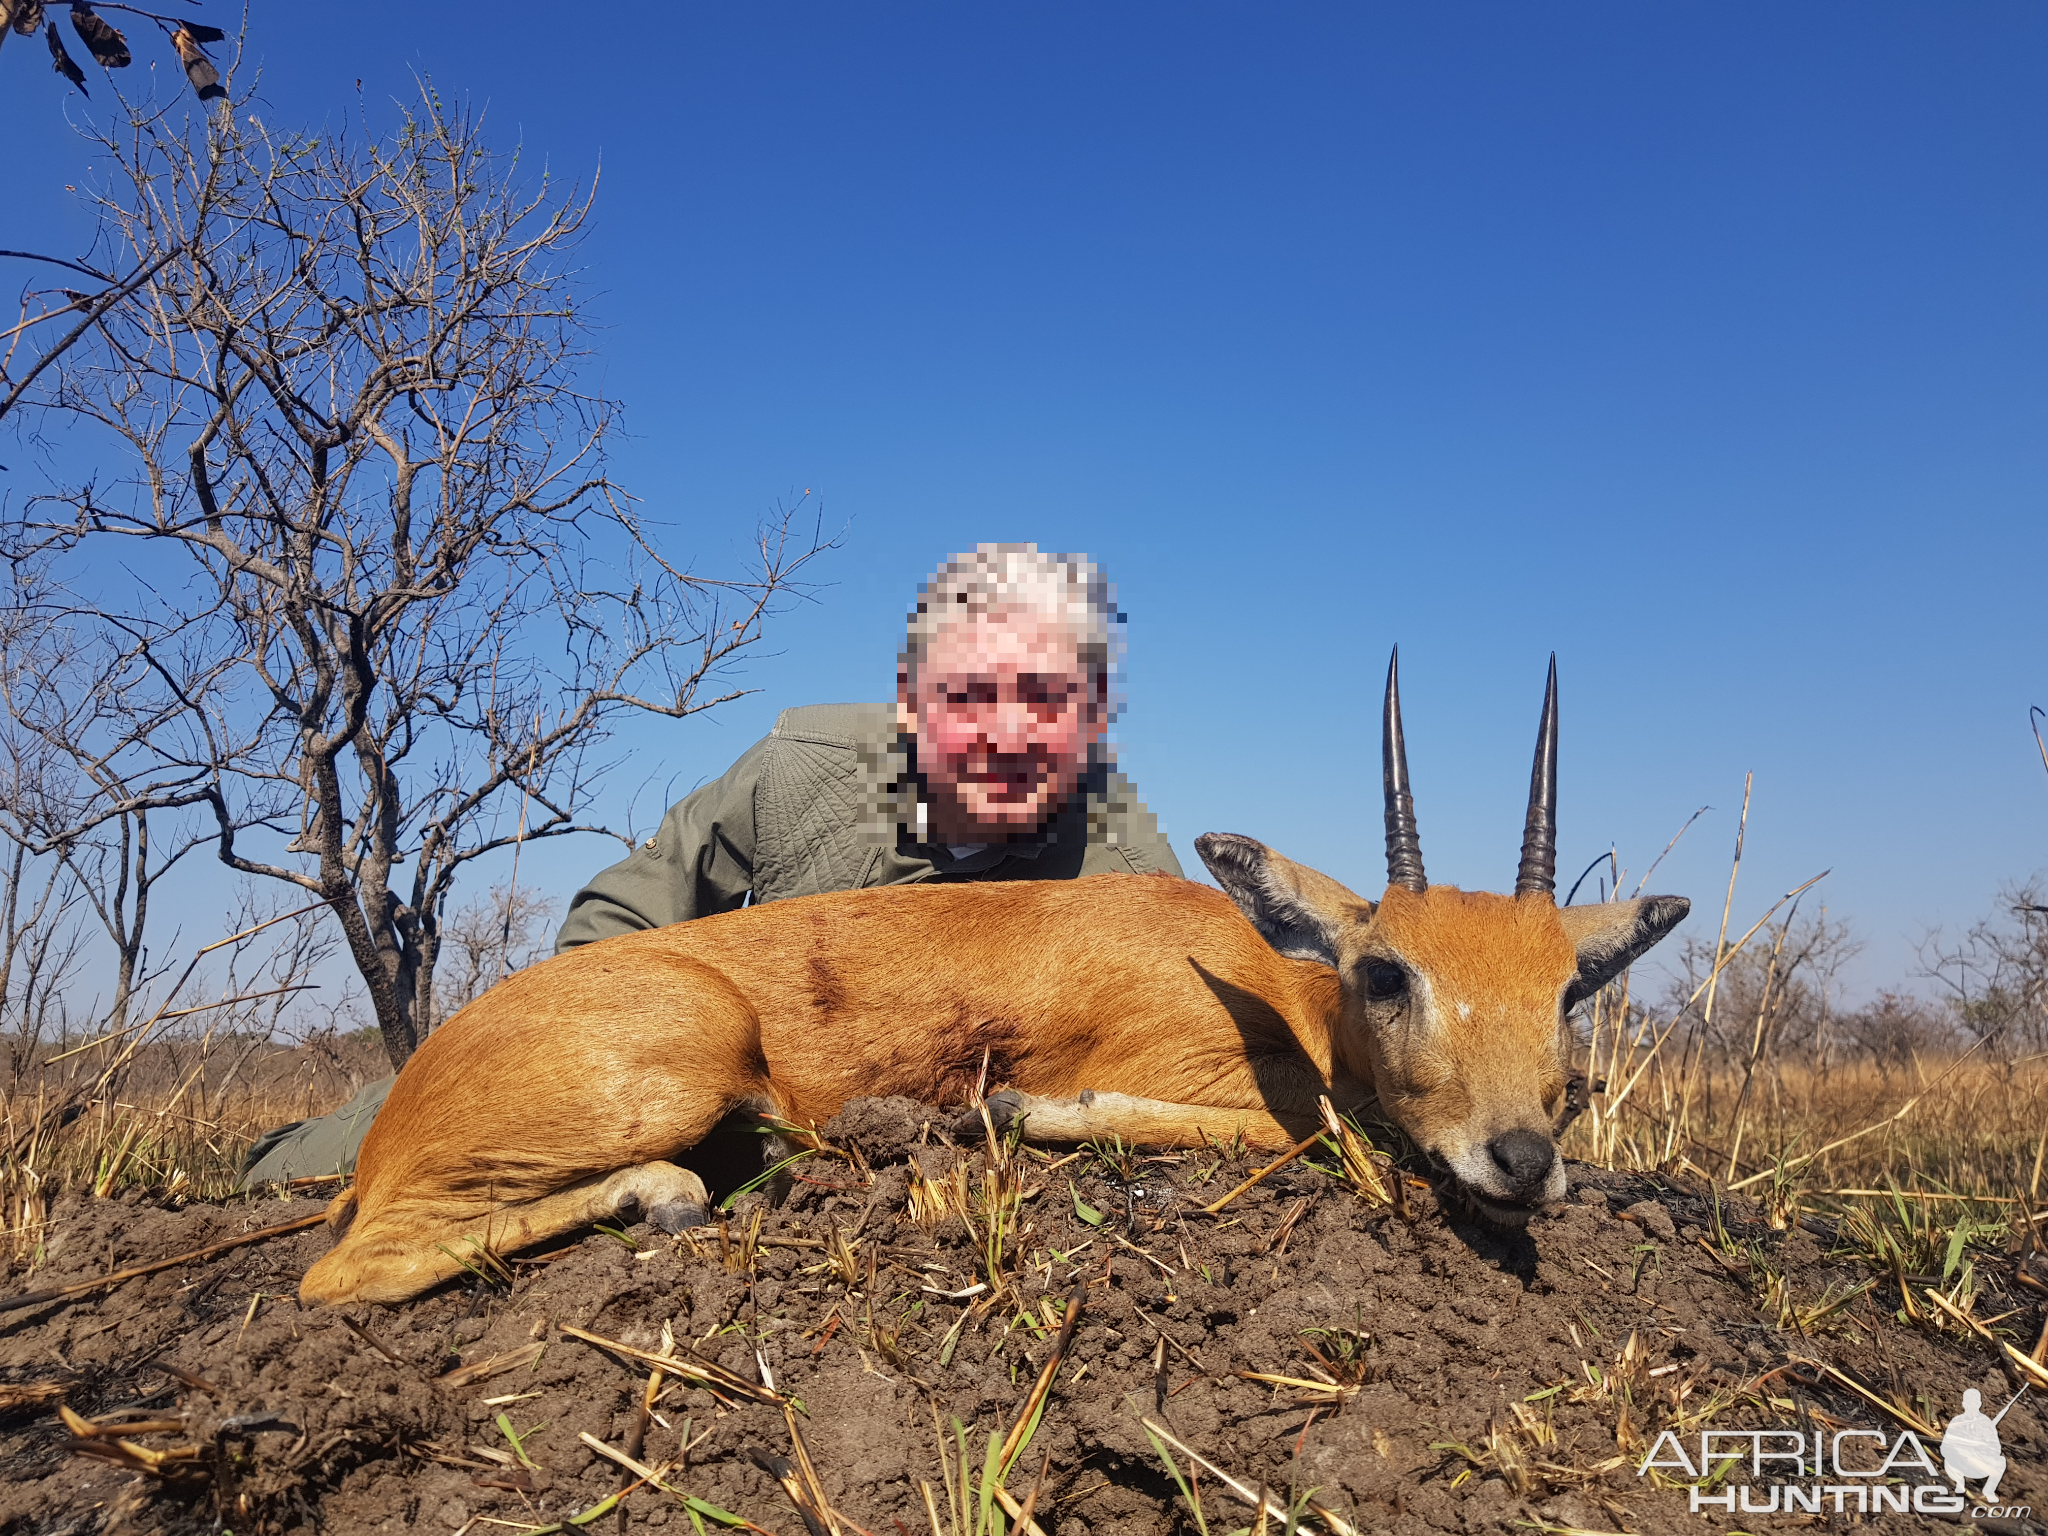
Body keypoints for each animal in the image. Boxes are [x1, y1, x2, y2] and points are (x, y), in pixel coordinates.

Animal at [299, 655, 1679, 1302]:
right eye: (1386, 971)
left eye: (1567, 987)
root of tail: (397, 1111)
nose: (1522, 1159)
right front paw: (1016, 1108)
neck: (1268, 988)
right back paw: (667, 1195)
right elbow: (1295, 1129)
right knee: (344, 1270)